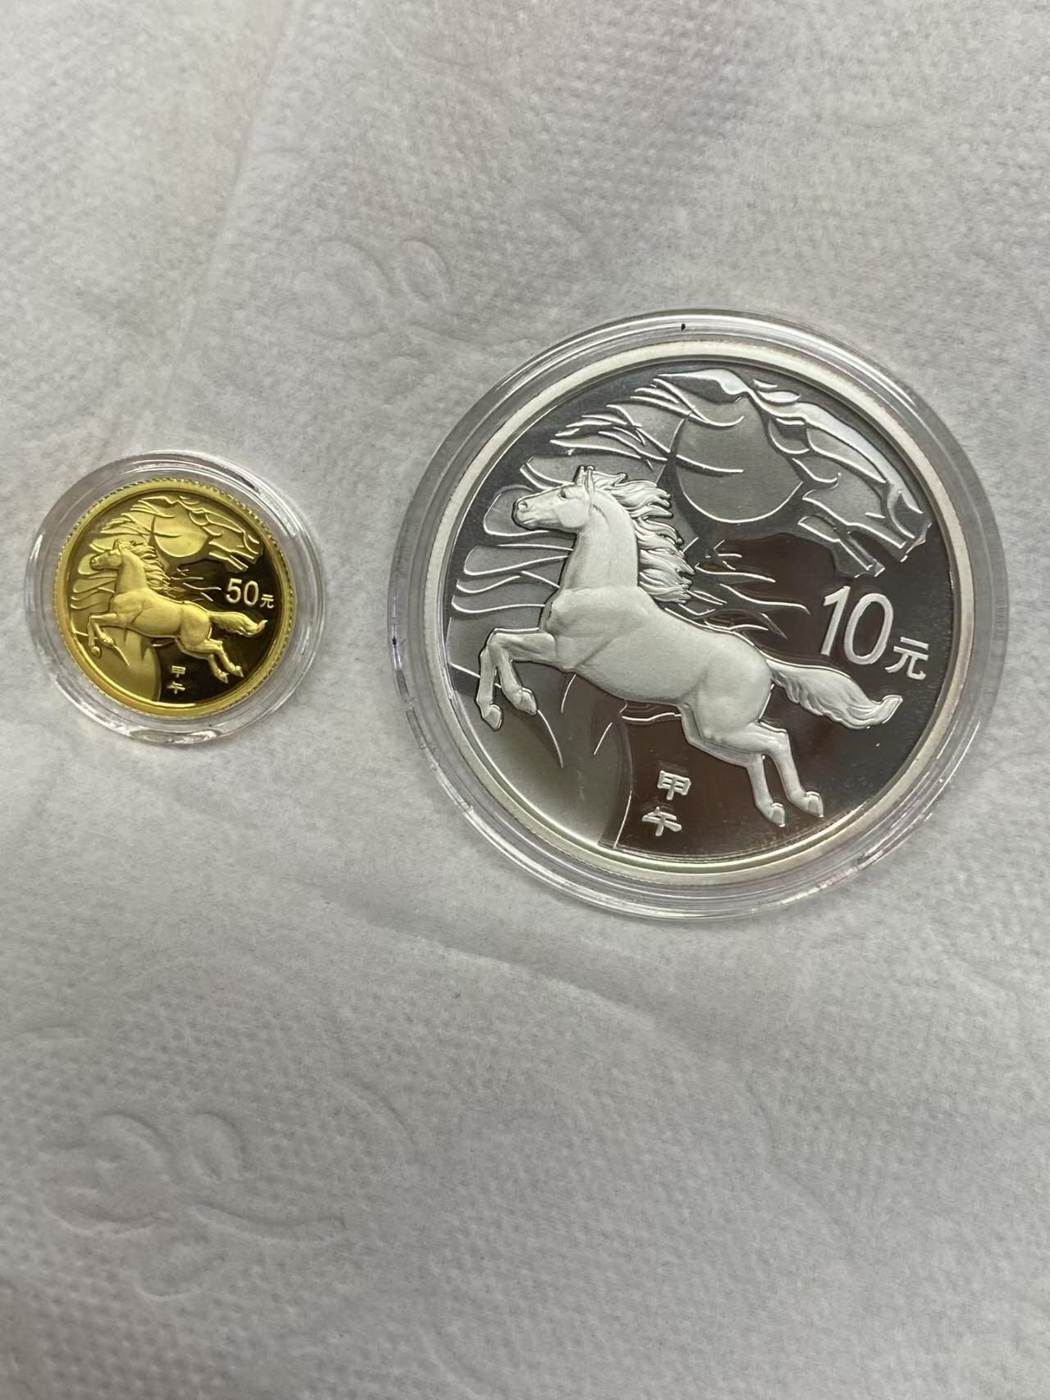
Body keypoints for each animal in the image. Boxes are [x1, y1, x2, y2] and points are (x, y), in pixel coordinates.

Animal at [85, 539, 266, 684]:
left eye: (110, 553)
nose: (92, 561)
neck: (131, 590)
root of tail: (207, 614)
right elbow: (92, 619)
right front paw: (98, 647)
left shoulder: (121, 619)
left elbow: (93, 619)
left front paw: (104, 643)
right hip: (187, 645)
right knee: (210, 654)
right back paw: (222, 674)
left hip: (193, 642)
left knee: (218, 646)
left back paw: (234, 669)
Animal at [474, 466, 902, 827]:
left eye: (564, 494)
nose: (519, 507)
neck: (599, 588)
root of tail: (765, 662)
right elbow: (494, 644)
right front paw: (495, 709)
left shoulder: (562, 653)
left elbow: (499, 643)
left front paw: (516, 702)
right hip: (703, 730)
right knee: (753, 757)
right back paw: (773, 810)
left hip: (723, 726)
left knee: (777, 741)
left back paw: (805, 801)